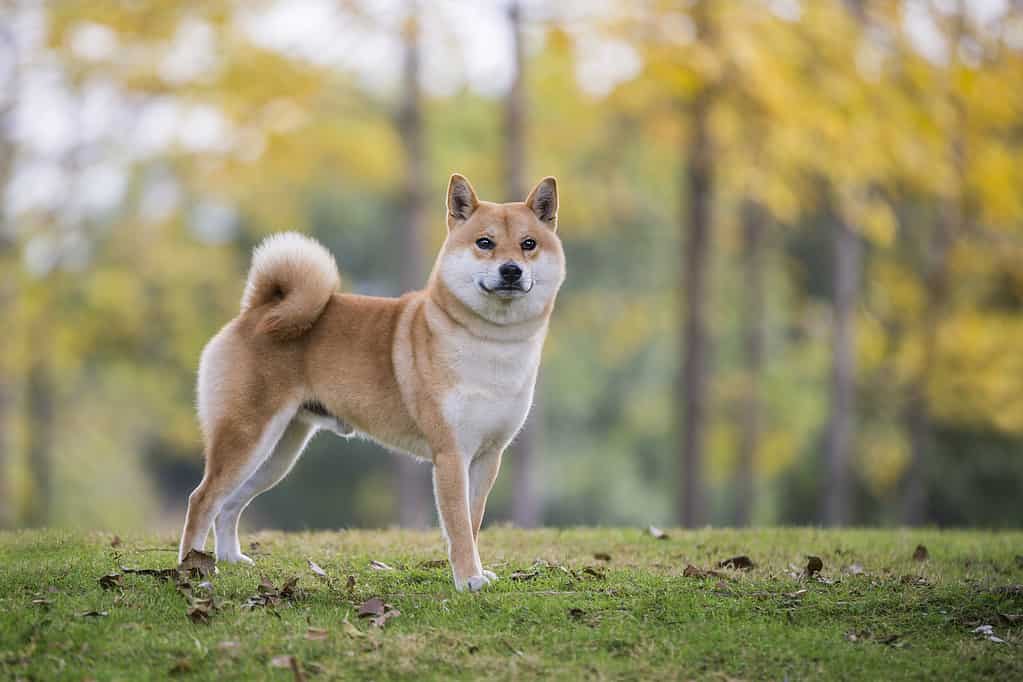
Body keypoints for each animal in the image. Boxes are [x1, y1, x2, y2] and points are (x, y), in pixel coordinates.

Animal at [175, 173, 560, 588]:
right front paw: (468, 579)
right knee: (203, 499)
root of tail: (257, 311)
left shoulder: (488, 456)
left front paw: (474, 570)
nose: (511, 270)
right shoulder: (451, 454)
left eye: (529, 244)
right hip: (246, 437)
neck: (491, 344)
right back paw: (191, 567)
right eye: (484, 242)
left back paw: (230, 558)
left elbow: (472, 524)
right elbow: (458, 526)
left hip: (277, 454)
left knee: (230, 504)